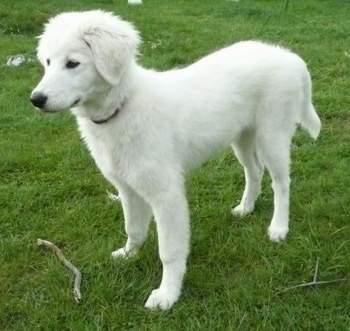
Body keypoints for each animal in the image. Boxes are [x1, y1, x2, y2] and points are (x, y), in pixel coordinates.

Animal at [31, 10, 322, 312]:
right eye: (48, 62)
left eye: (72, 63)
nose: (35, 99)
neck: (123, 106)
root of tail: (289, 56)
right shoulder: (127, 187)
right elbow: (133, 228)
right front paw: (129, 254)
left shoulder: (166, 193)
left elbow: (169, 251)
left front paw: (167, 294)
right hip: (242, 137)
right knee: (254, 171)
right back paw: (245, 208)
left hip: (272, 135)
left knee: (281, 182)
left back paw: (278, 228)